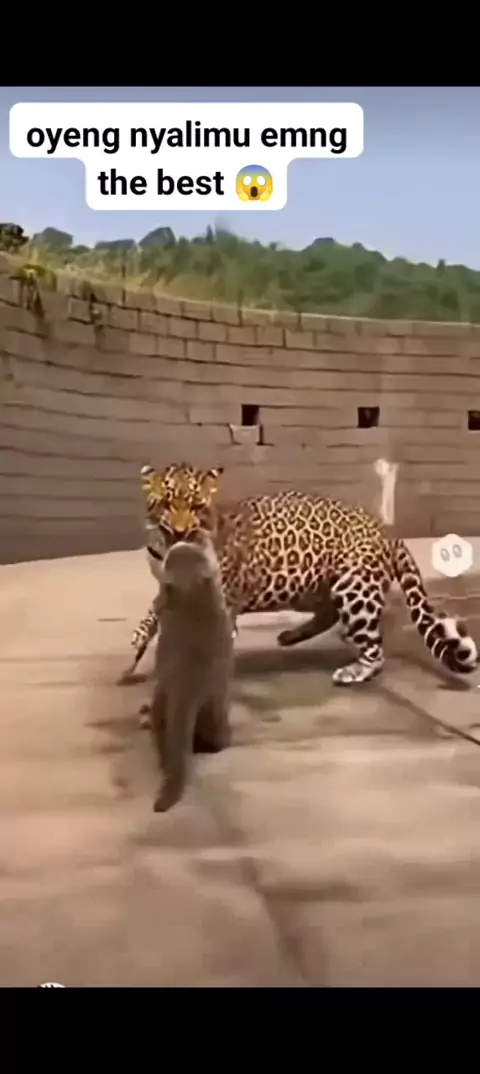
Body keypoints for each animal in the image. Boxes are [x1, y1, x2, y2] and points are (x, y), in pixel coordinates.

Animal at [125, 461, 478, 687]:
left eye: (197, 507)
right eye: (166, 504)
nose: (180, 532)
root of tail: (385, 529)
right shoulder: (166, 588)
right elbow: (151, 616)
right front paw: (134, 653)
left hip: (353, 586)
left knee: (373, 648)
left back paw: (354, 669)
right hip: (312, 585)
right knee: (330, 614)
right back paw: (292, 636)